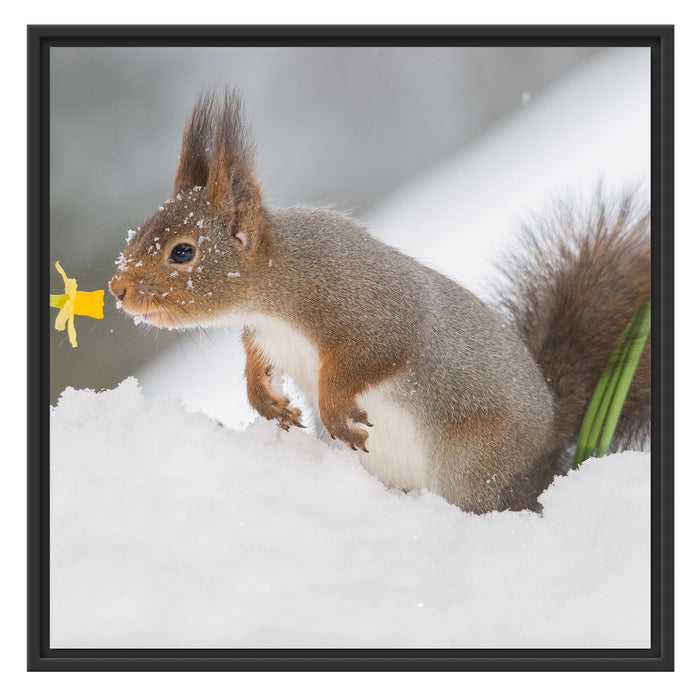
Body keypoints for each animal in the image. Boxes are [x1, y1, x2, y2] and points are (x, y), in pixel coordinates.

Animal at [109, 89, 650, 514]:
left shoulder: (369, 308)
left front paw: (332, 407)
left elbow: (373, 356)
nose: (117, 289)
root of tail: (551, 452)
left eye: (183, 252)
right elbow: (257, 366)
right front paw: (269, 405)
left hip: (475, 465)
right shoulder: (266, 337)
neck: (274, 291)